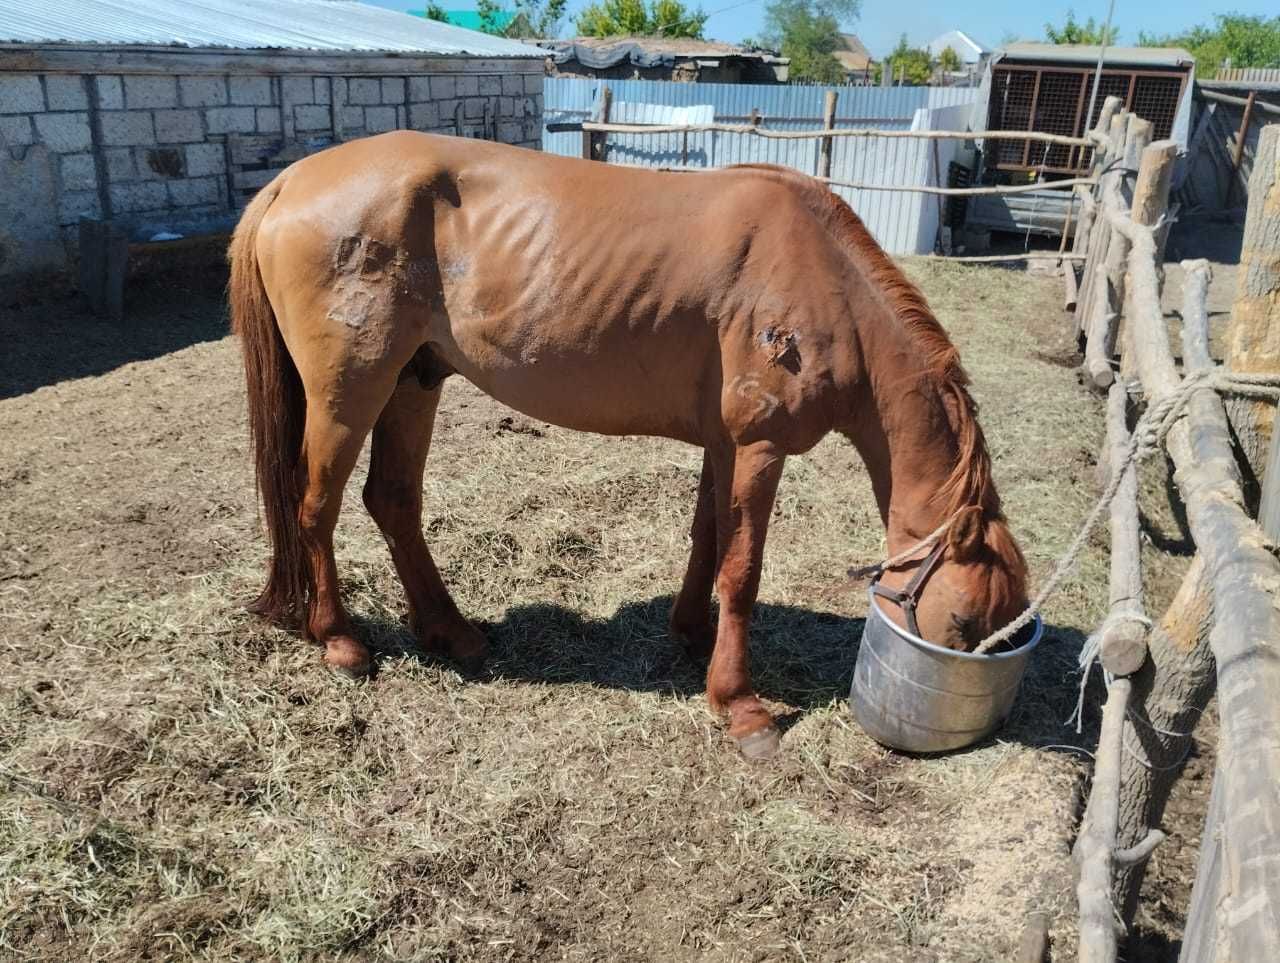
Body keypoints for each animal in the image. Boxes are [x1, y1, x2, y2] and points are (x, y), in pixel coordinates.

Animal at [230, 131, 1029, 758]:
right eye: (962, 621)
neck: (825, 283)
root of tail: (292, 181)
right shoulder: (760, 446)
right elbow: (743, 569)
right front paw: (741, 705)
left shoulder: (724, 445)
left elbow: (710, 541)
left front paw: (691, 635)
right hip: (348, 393)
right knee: (315, 506)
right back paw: (339, 640)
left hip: (413, 383)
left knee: (391, 501)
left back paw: (451, 632)